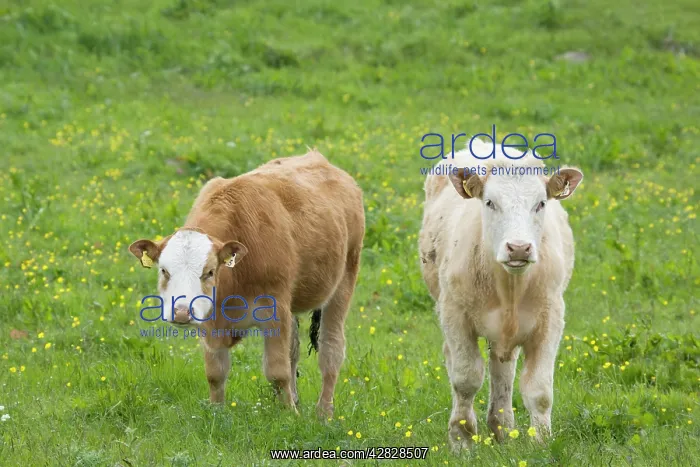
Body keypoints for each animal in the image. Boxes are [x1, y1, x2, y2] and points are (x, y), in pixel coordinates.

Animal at [129, 150, 365, 417]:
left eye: (209, 272)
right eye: (164, 270)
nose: (180, 312)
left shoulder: (275, 310)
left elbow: (277, 371)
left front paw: (290, 416)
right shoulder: (210, 319)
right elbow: (215, 373)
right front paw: (217, 413)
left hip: (344, 279)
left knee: (331, 350)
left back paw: (324, 413)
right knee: (294, 351)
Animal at [418, 139, 583, 450]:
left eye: (540, 203)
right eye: (490, 202)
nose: (518, 248)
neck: (510, 288)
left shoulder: (550, 320)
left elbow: (539, 390)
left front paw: (541, 444)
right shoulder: (455, 315)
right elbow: (466, 379)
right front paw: (462, 440)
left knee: (501, 370)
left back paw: (503, 428)